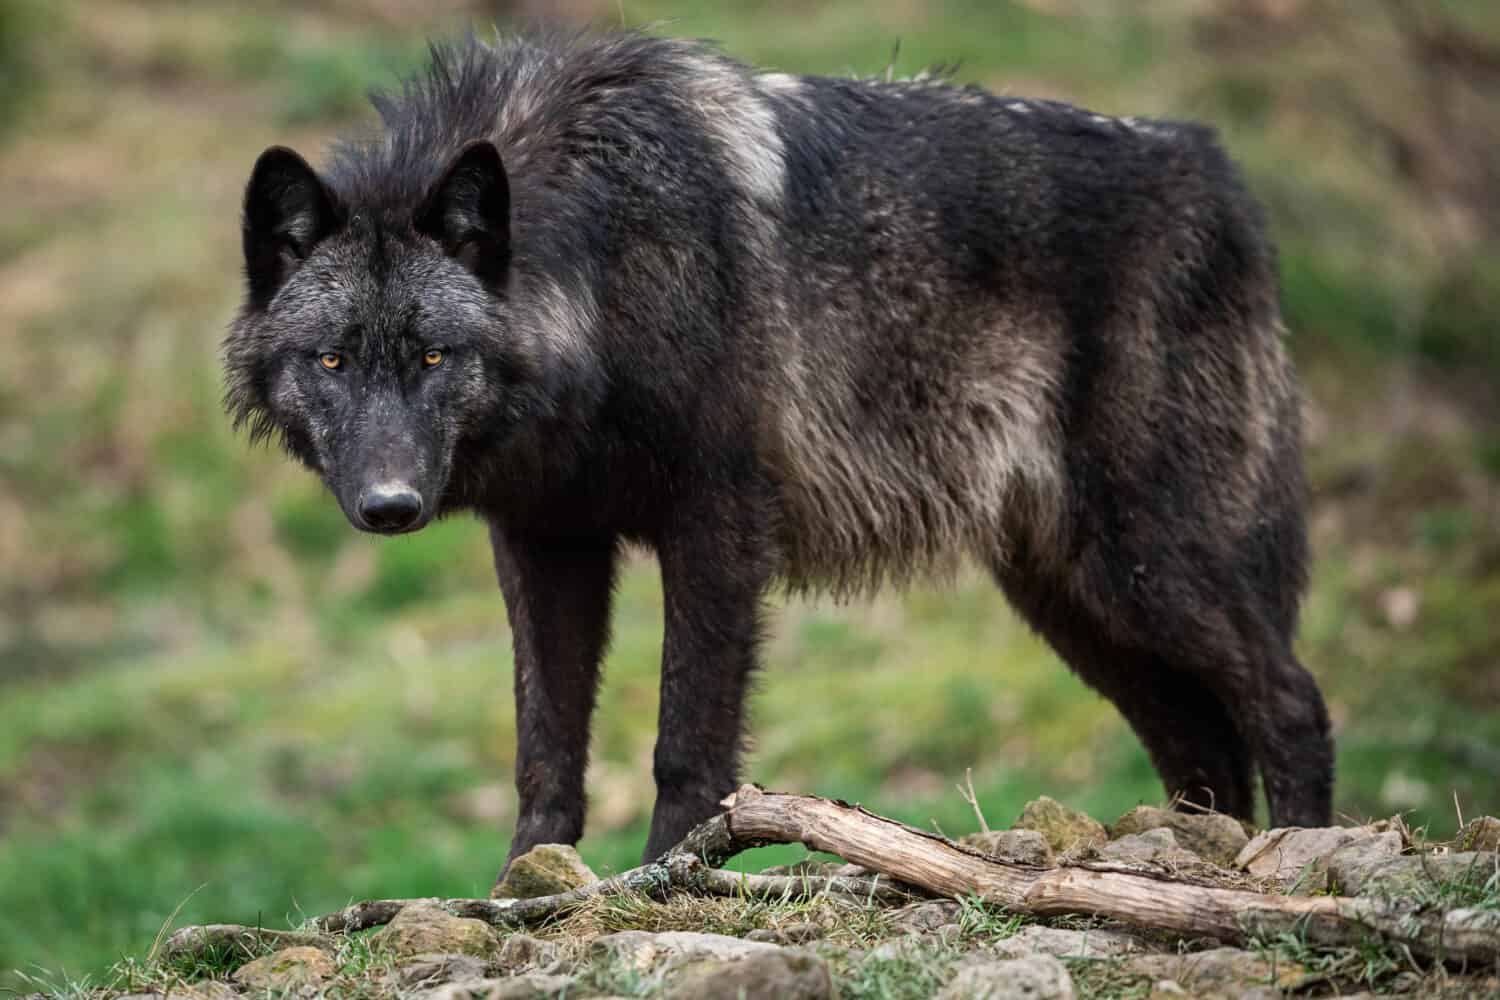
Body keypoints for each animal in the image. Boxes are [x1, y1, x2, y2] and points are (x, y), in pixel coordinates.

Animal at [225, 27, 1338, 869]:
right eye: (331, 359)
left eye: (431, 355)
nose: (390, 506)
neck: (603, 265)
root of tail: (1215, 171)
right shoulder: (544, 541)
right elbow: (546, 748)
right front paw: (522, 887)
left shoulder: (718, 521)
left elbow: (688, 737)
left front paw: (669, 871)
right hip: (1072, 598)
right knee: (1203, 741)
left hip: (1141, 564)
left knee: (1293, 700)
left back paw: (1294, 857)